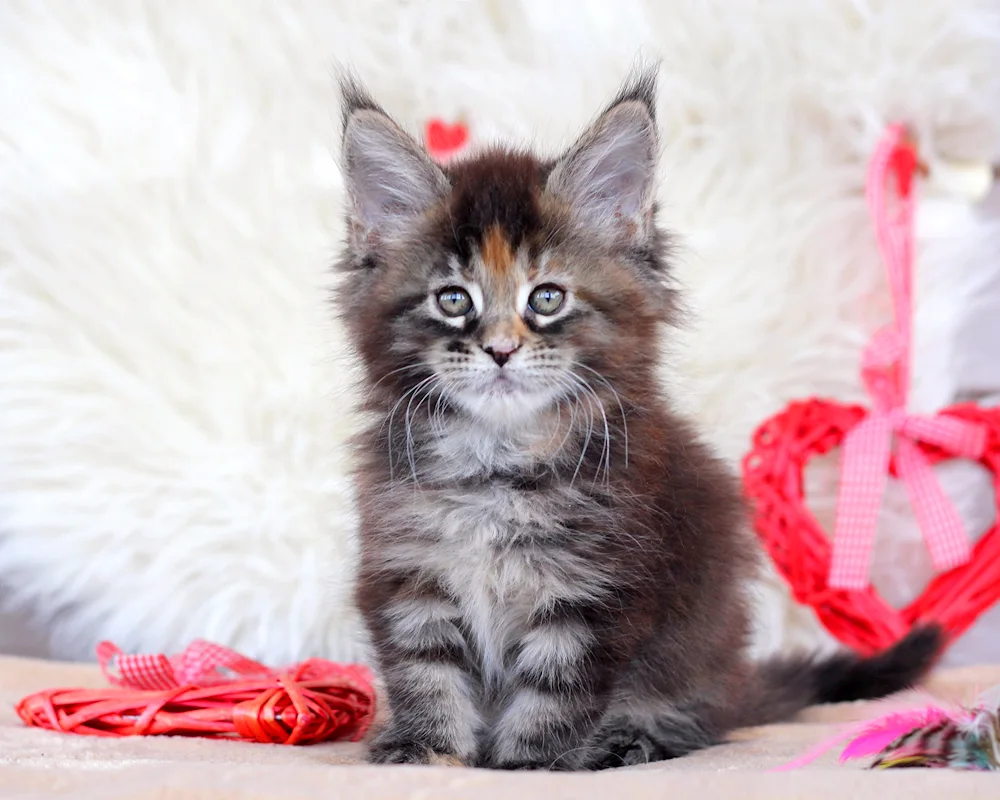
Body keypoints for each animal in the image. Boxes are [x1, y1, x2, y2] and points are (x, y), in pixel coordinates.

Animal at [332, 70, 940, 776]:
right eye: (453, 300)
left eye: (547, 297)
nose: (501, 349)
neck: (498, 460)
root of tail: (736, 685)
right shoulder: (409, 571)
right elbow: (425, 669)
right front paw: (427, 749)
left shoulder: (595, 588)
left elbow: (556, 689)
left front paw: (529, 764)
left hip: (695, 656)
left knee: (696, 720)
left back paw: (632, 741)